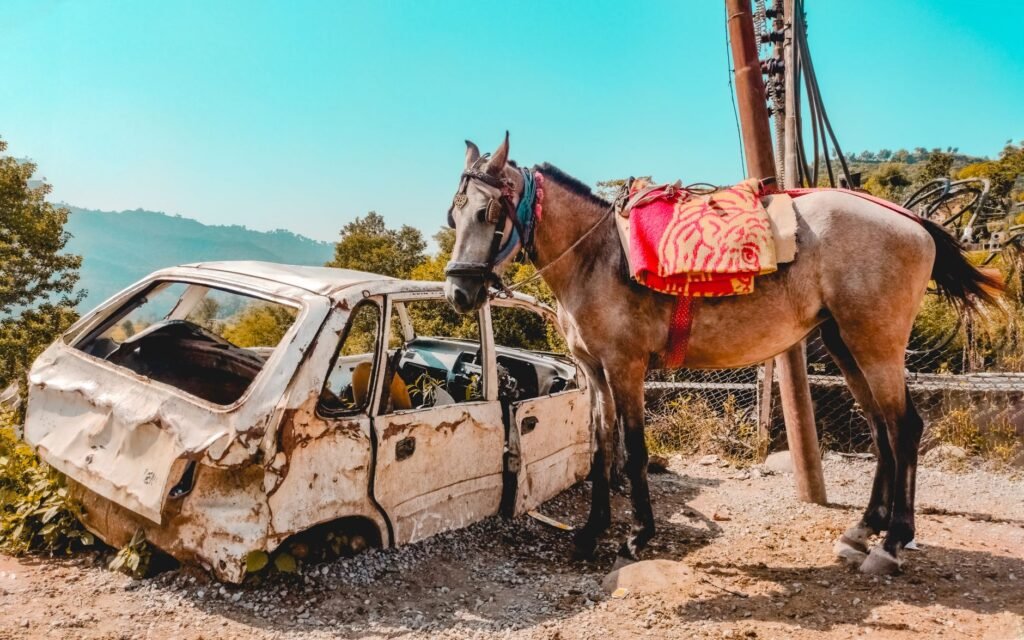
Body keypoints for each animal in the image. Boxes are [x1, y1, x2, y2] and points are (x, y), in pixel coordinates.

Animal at [442, 132, 1002, 575]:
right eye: (454, 214)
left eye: (487, 212)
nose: (458, 293)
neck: (596, 257)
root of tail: (913, 221)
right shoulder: (595, 372)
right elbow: (601, 447)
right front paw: (590, 533)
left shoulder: (626, 368)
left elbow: (634, 449)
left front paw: (638, 535)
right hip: (847, 345)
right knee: (880, 429)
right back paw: (862, 530)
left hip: (877, 344)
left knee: (904, 428)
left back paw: (892, 542)